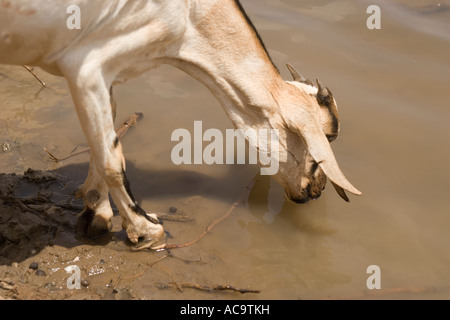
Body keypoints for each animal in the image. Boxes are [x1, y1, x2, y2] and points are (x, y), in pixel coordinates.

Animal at [0, 0, 358, 248]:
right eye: (327, 136)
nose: (316, 190)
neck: (191, 15)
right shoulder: (85, 65)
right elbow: (113, 160)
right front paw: (146, 230)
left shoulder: (103, 72)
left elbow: (103, 140)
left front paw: (96, 215)